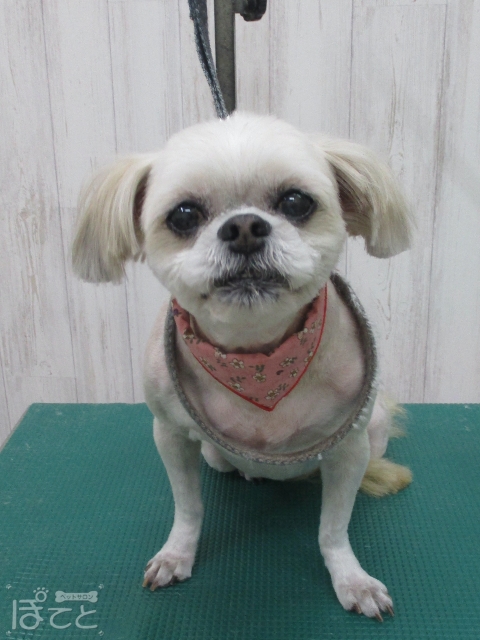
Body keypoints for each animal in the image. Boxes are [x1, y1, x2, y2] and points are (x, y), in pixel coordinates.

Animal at [72, 112, 414, 620]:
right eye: (184, 215)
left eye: (295, 201)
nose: (245, 227)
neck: (256, 361)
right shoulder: (169, 434)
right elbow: (188, 509)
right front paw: (177, 555)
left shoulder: (350, 449)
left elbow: (333, 530)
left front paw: (352, 580)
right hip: (214, 454)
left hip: (374, 427)